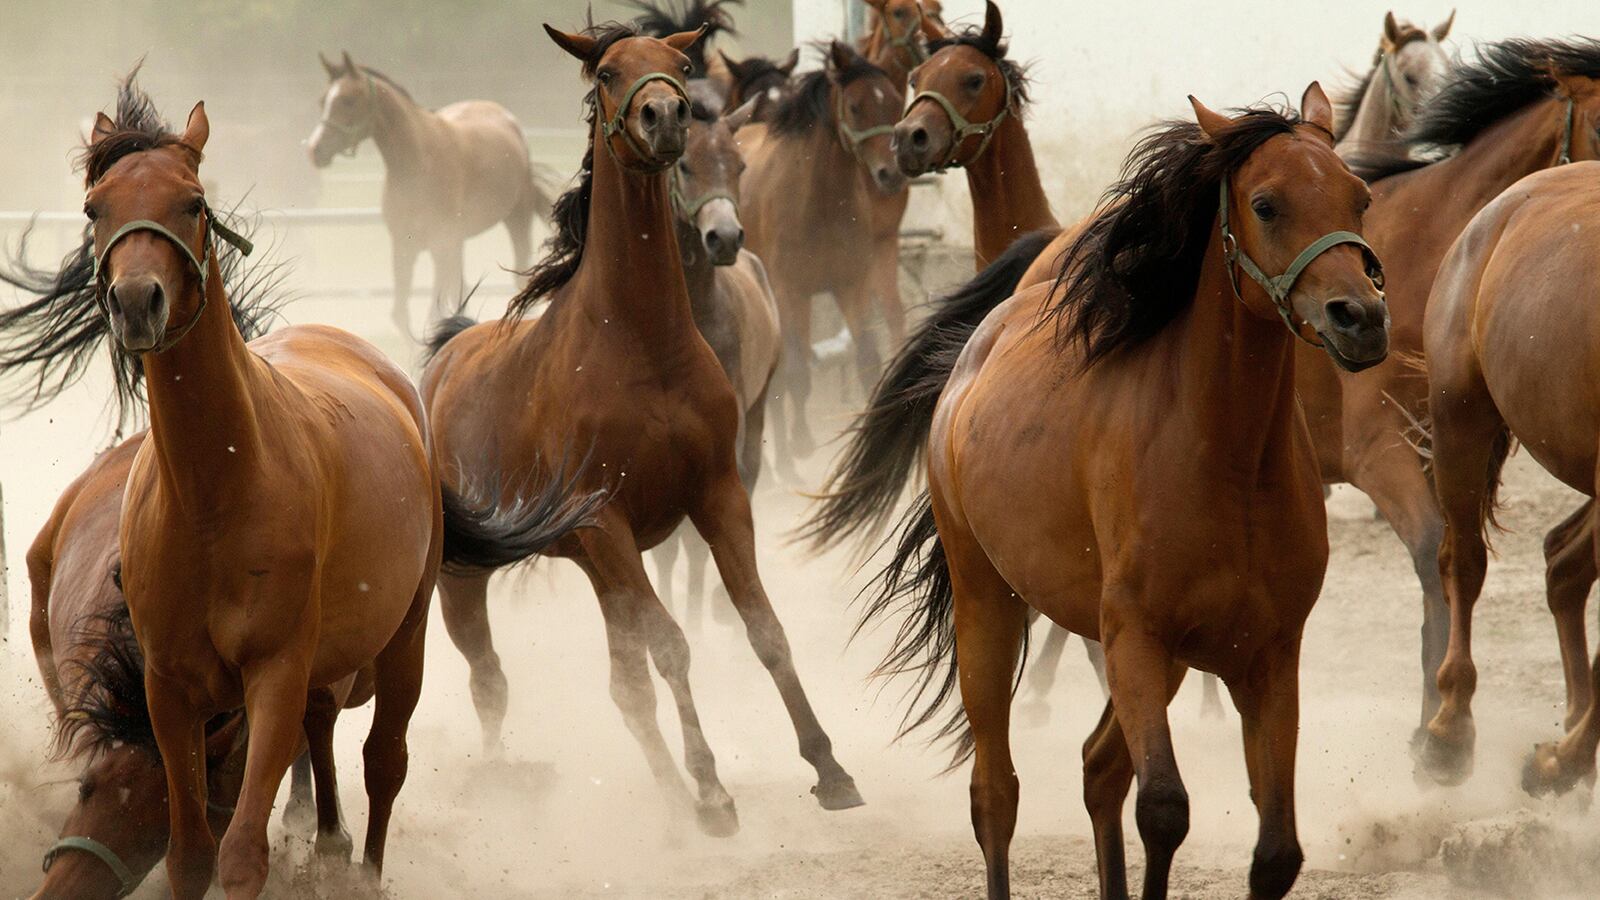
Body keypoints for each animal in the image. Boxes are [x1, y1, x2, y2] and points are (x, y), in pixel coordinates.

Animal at [306, 51, 546, 339]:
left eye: (348, 100)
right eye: (322, 100)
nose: (315, 150)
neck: (418, 161)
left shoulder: (440, 243)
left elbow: (433, 316)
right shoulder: (403, 245)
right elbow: (401, 314)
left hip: (516, 219)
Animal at [739, 41, 906, 473]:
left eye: (895, 102)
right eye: (855, 106)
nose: (891, 175)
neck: (821, 201)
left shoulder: (852, 284)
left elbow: (867, 355)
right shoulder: (789, 290)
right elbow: (796, 372)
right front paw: (801, 442)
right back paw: (782, 461)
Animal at [848, 84, 1389, 898]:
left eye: (1359, 197)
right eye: (1266, 204)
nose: (1362, 318)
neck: (1228, 459)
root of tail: (975, 351)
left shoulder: (1267, 655)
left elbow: (1275, 852)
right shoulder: (1135, 635)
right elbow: (1163, 809)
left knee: (1098, 769)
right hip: (988, 606)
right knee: (995, 793)